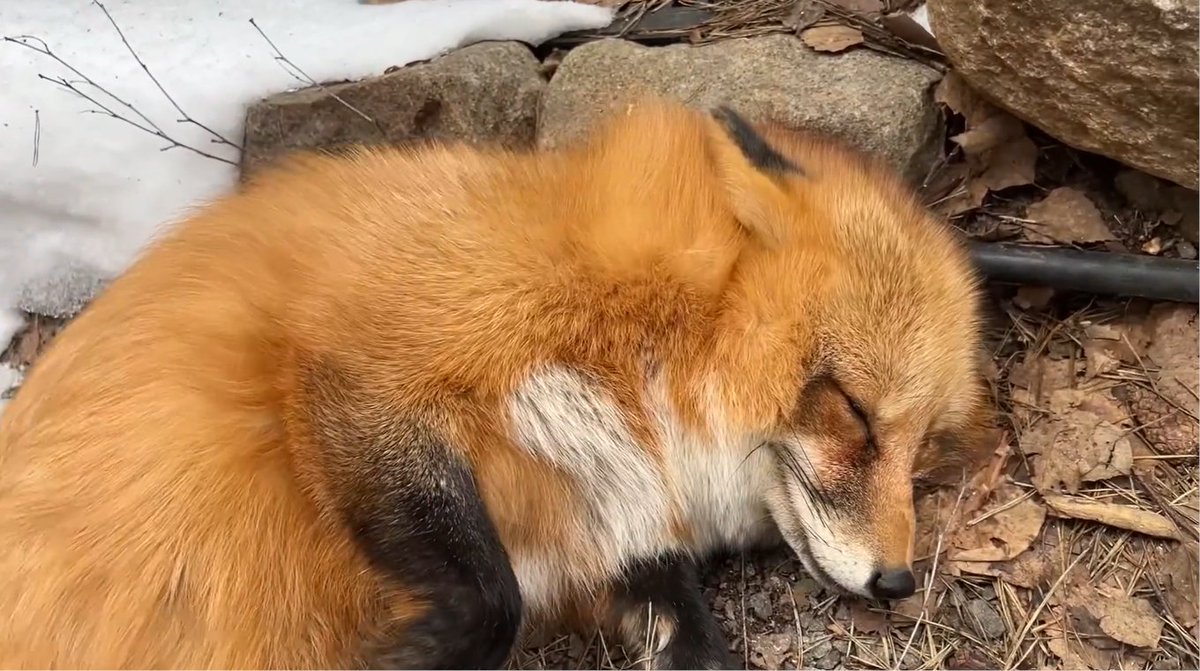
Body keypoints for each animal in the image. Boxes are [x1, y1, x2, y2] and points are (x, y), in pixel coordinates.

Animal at [0, 97, 995, 669]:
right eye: (855, 412)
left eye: (924, 452)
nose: (899, 580)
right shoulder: (367, 369)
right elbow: (490, 604)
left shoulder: (608, 537)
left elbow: (694, 646)